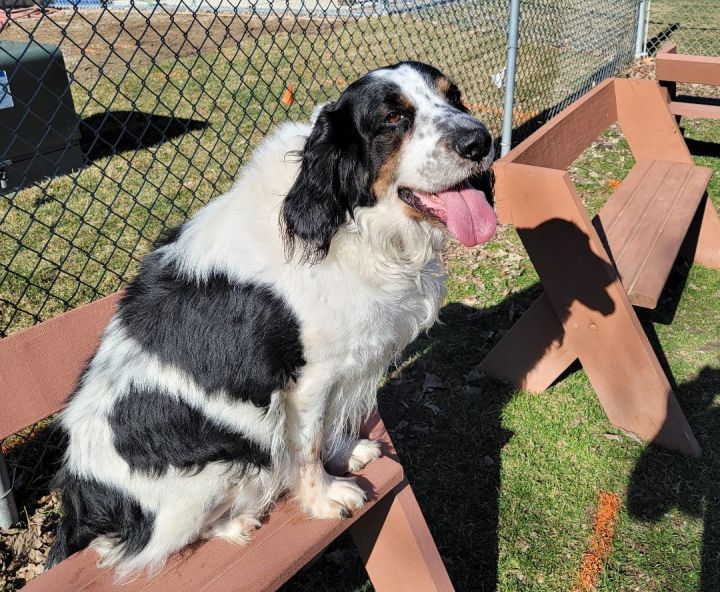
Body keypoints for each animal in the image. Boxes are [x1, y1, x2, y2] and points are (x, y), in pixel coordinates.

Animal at [45, 60, 496, 580]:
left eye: (453, 97)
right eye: (392, 118)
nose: (480, 141)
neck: (346, 221)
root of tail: (79, 503)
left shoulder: (346, 364)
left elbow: (331, 426)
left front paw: (348, 453)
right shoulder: (306, 381)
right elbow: (307, 446)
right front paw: (324, 498)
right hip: (222, 461)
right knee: (142, 546)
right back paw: (234, 524)